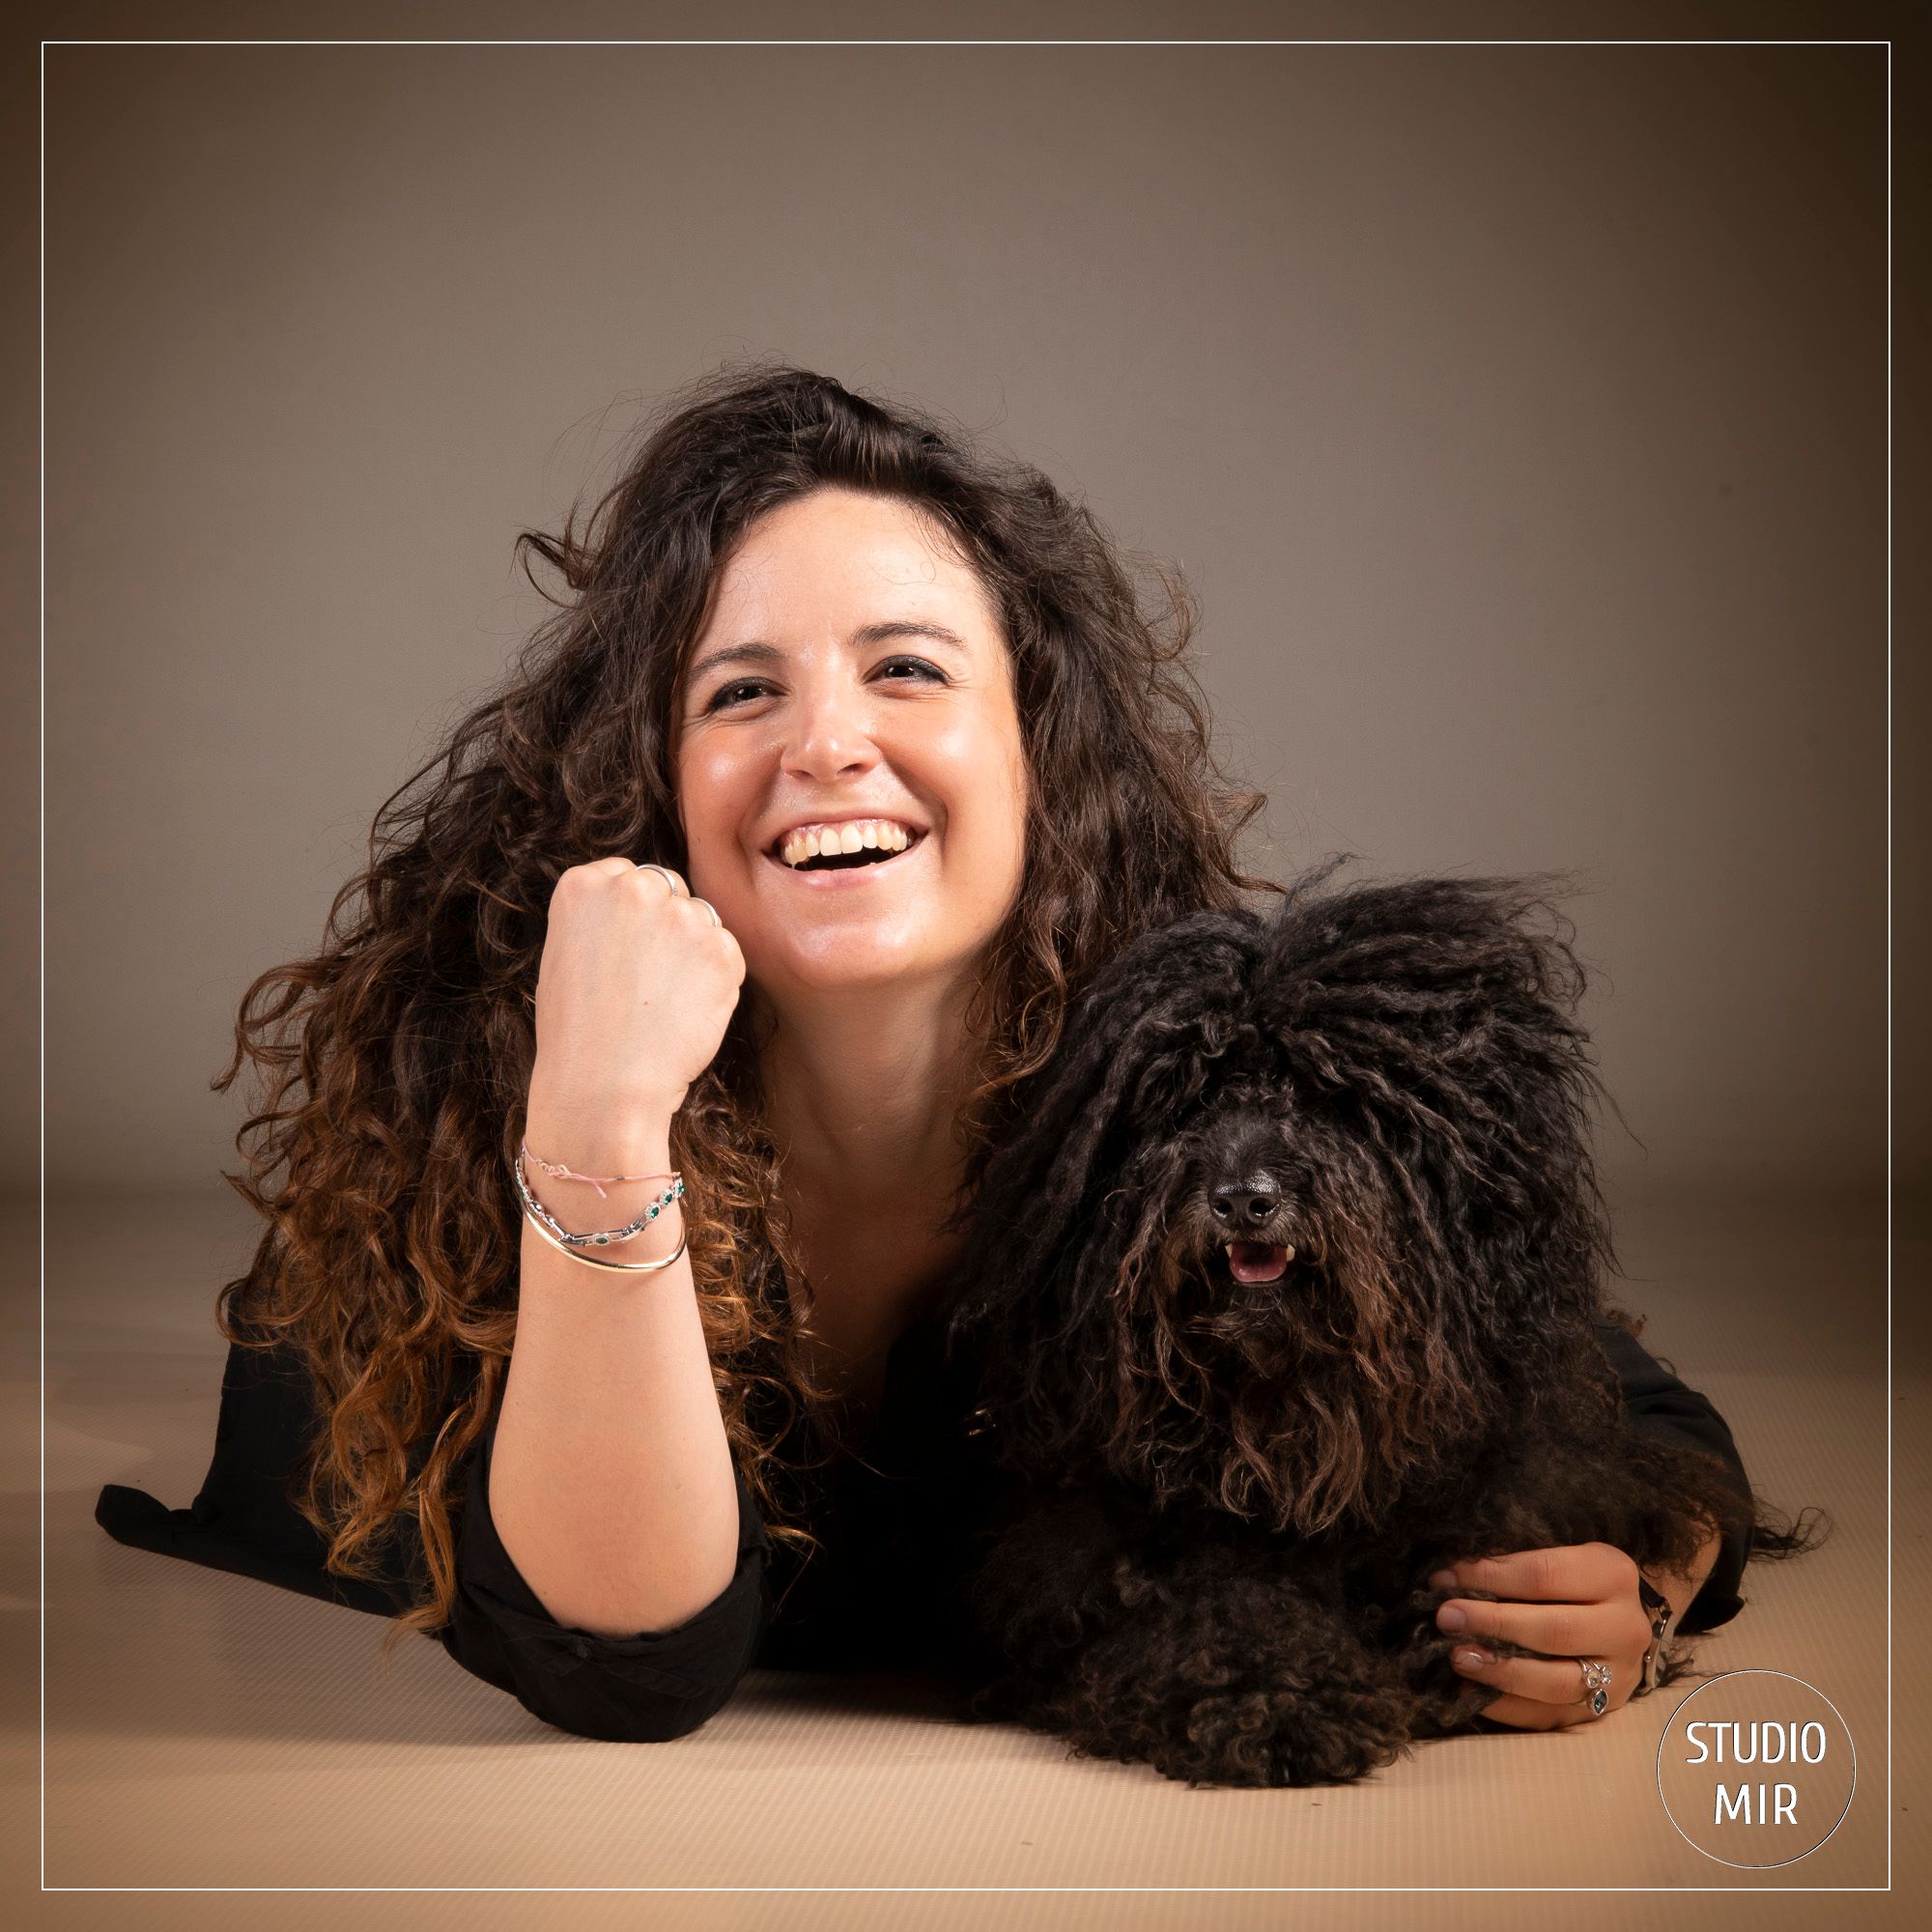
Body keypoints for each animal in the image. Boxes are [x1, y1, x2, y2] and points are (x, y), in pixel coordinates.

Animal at [943, 866, 1801, 1793]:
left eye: (1330, 1098)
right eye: (1183, 1097)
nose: (1244, 1196)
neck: (1280, 1417)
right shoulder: (1094, 1558)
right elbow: (1218, 1614)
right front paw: (1274, 1700)